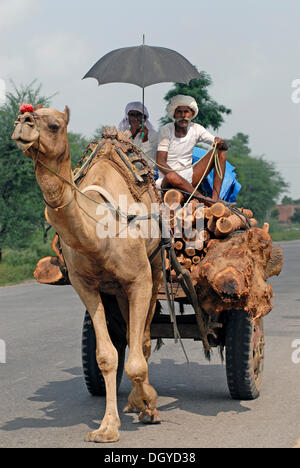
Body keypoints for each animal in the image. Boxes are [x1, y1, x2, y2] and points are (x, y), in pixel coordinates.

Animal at [12, 106, 164, 442]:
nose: (21, 123)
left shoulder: (140, 278)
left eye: (54, 124)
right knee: (131, 336)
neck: (101, 228)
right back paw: (133, 401)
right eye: (22, 115)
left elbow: (137, 354)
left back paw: (144, 401)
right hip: (117, 290)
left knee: (145, 338)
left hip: (157, 267)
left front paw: (149, 404)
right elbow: (107, 355)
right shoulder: (85, 285)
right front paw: (107, 427)